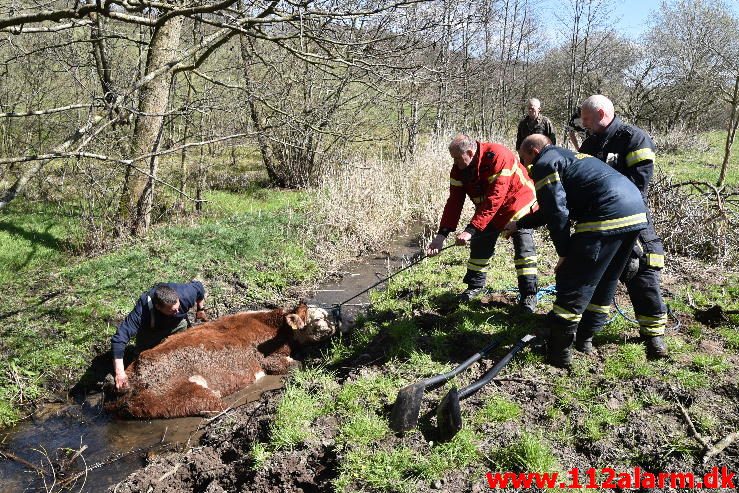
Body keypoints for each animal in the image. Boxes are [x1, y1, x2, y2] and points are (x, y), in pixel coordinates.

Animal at [105, 302, 336, 418]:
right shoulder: (271, 359)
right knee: (215, 406)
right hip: (181, 395)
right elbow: (297, 364)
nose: (335, 323)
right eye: (318, 318)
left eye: (328, 314)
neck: (276, 326)